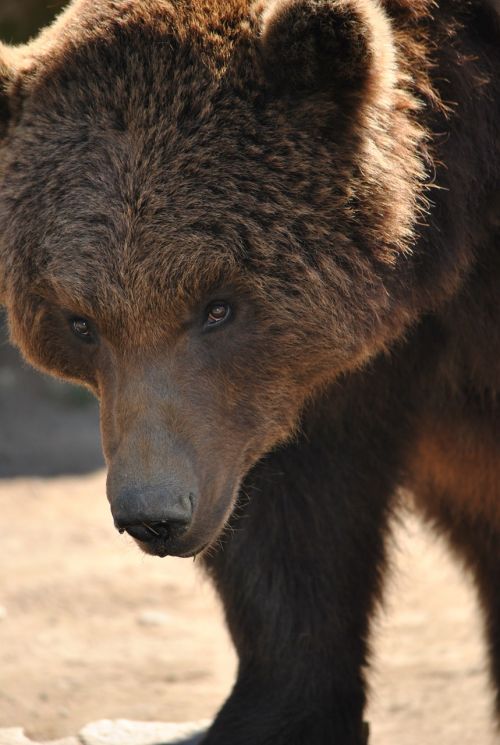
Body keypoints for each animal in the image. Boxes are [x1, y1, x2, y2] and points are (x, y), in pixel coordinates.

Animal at [0, 0, 498, 740]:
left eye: (218, 305)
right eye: (80, 321)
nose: (153, 515)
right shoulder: (301, 395)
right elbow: (290, 525)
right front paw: (275, 708)